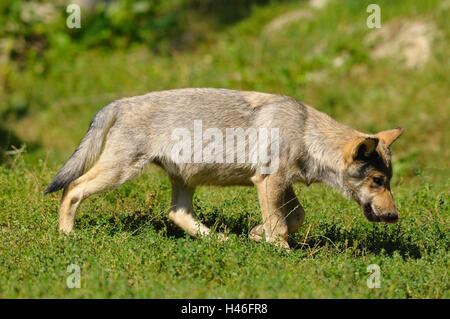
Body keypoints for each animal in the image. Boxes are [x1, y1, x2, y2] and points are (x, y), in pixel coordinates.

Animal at [44, 89, 404, 251]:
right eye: (377, 181)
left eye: (388, 182)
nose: (394, 216)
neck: (305, 132)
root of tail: (121, 102)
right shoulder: (269, 181)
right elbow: (279, 224)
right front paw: (280, 252)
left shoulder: (280, 184)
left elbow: (294, 218)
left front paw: (257, 235)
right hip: (120, 172)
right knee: (71, 188)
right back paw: (67, 235)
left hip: (183, 180)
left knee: (177, 214)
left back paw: (220, 240)